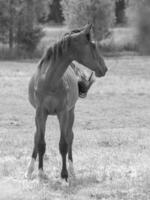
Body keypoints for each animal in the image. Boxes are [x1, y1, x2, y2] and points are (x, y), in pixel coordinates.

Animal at [26, 23, 108, 183]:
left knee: (70, 137)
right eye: (93, 45)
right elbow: (40, 142)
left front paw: (64, 175)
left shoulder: (63, 113)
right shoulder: (40, 113)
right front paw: (40, 173)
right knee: (36, 137)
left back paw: (72, 171)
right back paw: (30, 170)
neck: (50, 80)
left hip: (71, 113)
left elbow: (63, 144)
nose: (105, 68)